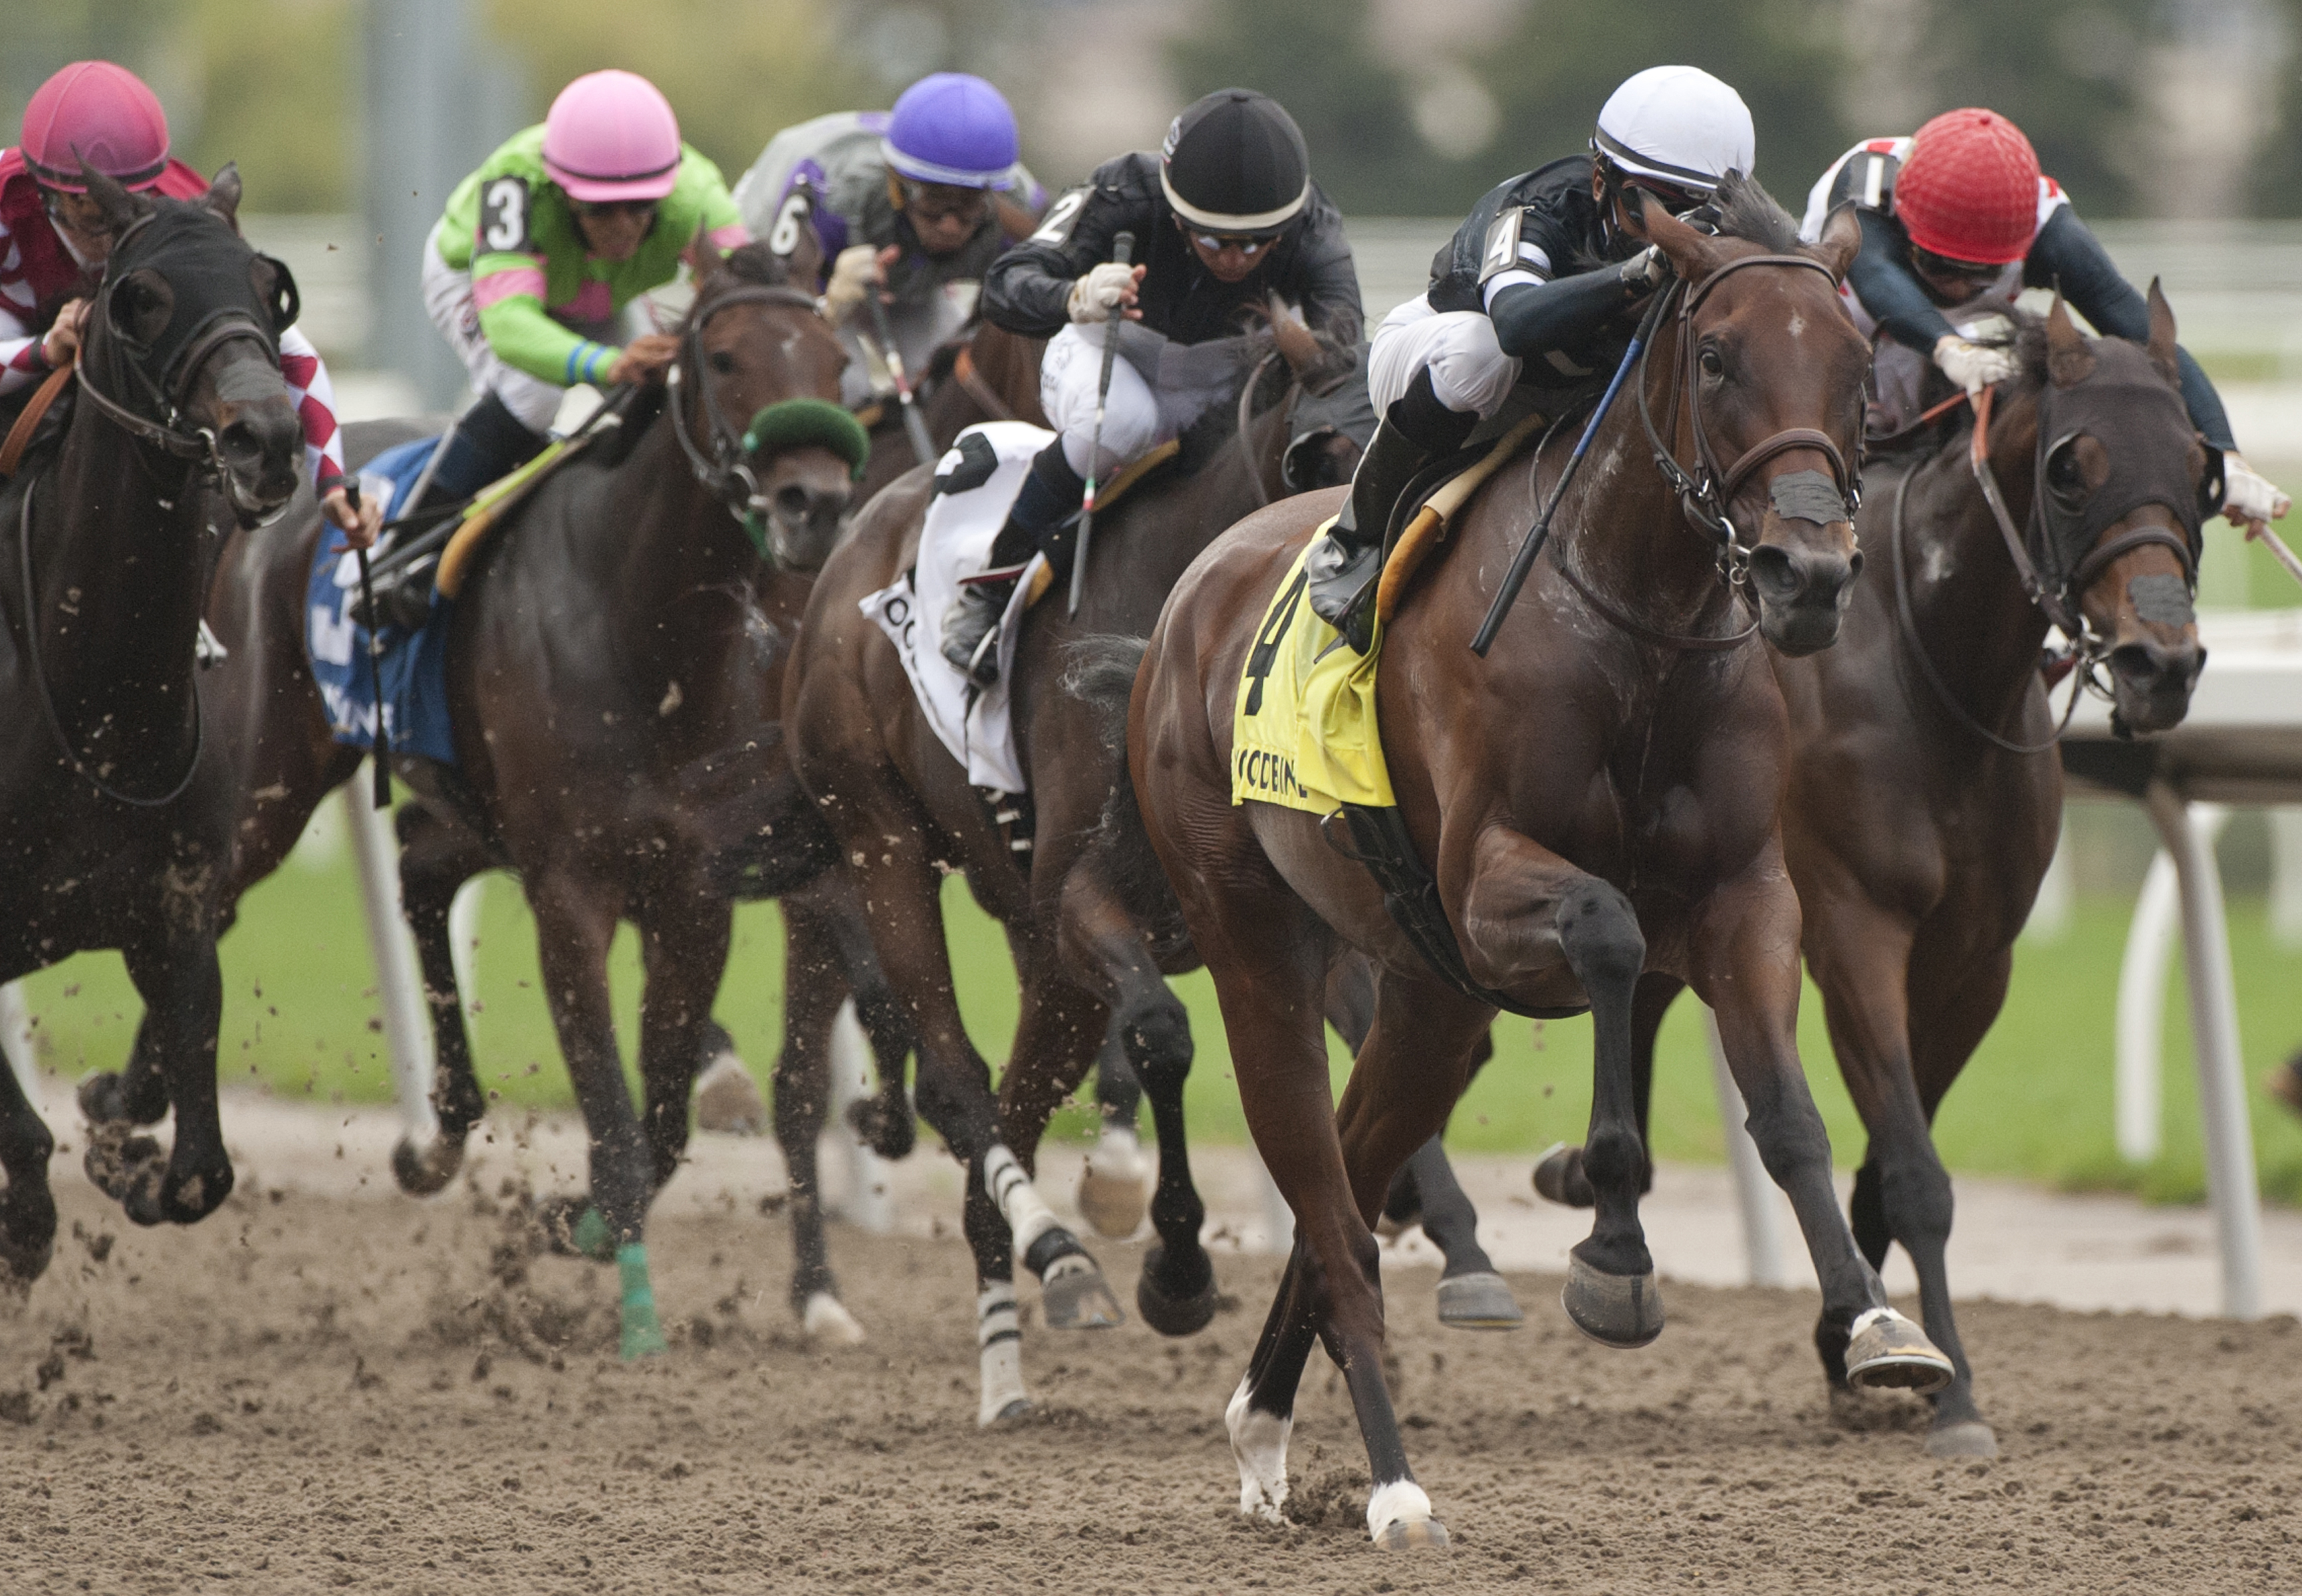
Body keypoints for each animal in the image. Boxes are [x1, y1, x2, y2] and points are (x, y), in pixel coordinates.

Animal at [0, 168, 306, 1280]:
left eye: (270, 287)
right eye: (140, 298)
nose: (267, 438)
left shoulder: (171, 916)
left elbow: (202, 1172)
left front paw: (125, 1162)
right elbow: (24, 1138)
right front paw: (26, 1222)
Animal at [787, 336, 1344, 1418]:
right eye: (1319, 452)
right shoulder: (1085, 900)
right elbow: (1163, 1034)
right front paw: (1177, 1271)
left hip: (1034, 945)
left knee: (1005, 1113)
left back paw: (1013, 1342)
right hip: (882, 837)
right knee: (961, 1083)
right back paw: (1051, 1268)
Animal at [1123, 177, 1952, 1547]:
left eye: (1850, 363)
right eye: (1716, 357)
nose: (1809, 575)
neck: (1642, 626)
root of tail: (1194, 587)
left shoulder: (1744, 896)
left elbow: (1785, 1113)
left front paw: (1878, 1325)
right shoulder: (1485, 883)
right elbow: (1611, 934)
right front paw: (1613, 1253)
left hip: (1428, 996)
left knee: (1350, 1171)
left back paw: (1263, 1424)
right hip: (1256, 940)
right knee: (1324, 1194)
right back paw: (1393, 1486)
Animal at [1528, 289, 2210, 1455]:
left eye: (2200, 464)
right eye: (2071, 468)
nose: (2159, 664)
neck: (1933, 668)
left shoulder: (1974, 960)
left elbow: (1894, 1173)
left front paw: (1857, 1339)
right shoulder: (1852, 931)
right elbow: (1912, 1168)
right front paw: (1956, 1397)